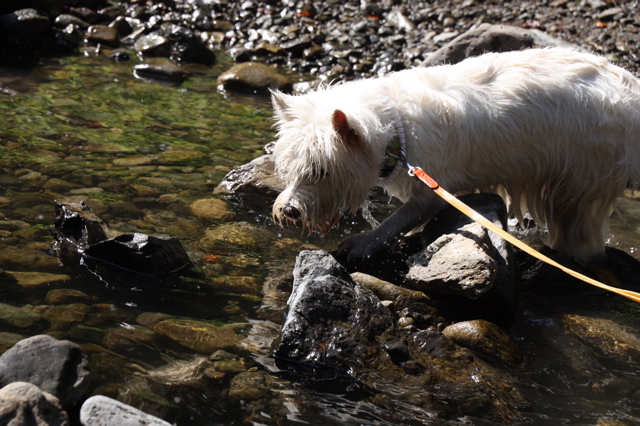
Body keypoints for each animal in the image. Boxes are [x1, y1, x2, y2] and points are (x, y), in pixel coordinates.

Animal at [270, 46, 640, 260]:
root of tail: (631, 89)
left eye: (321, 171)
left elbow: (397, 220)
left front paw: (365, 242)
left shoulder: (434, 187)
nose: (289, 211)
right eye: (290, 170)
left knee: (579, 226)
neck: (395, 129)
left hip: (583, 177)